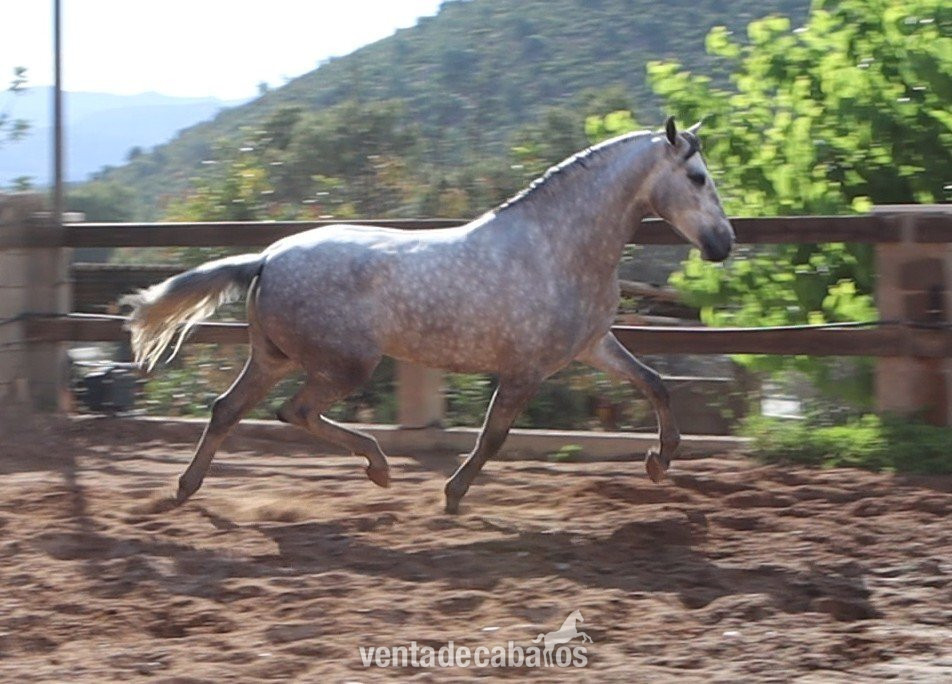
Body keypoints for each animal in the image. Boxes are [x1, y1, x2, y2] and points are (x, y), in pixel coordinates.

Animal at [122, 116, 734, 514]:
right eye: (698, 178)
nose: (724, 243)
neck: (558, 248)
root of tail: (267, 258)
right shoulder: (525, 371)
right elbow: (493, 437)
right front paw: (453, 495)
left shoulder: (592, 345)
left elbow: (655, 383)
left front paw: (660, 461)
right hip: (345, 365)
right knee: (293, 411)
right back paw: (378, 467)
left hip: (274, 358)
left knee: (226, 410)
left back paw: (184, 489)